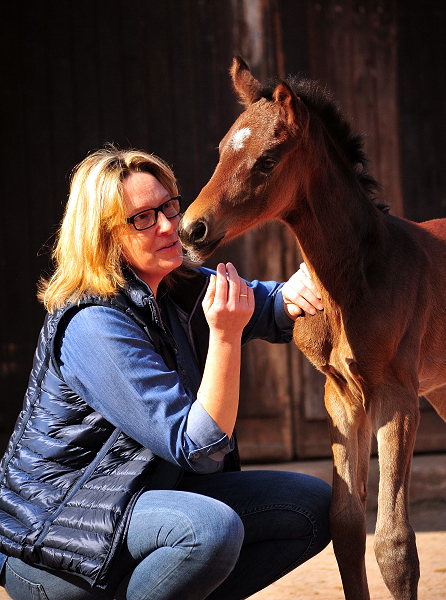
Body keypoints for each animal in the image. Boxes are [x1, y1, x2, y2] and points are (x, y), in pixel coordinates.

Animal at [179, 56, 446, 600]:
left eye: (268, 159)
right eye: (221, 149)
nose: (191, 230)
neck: (359, 276)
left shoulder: (397, 397)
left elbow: (394, 542)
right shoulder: (340, 396)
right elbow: (345, 524)